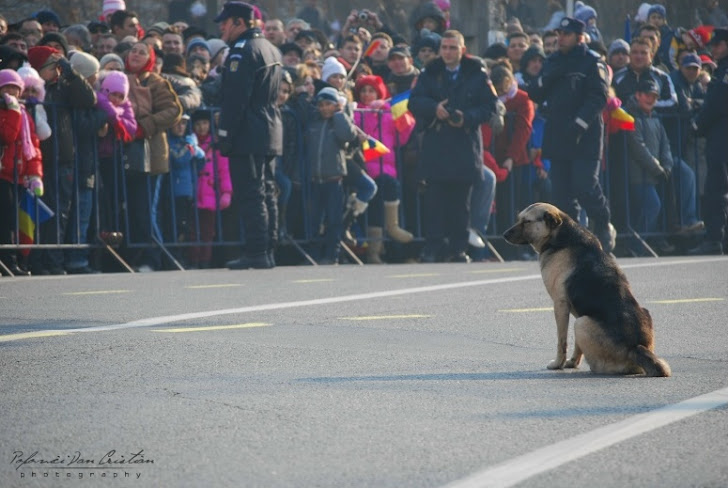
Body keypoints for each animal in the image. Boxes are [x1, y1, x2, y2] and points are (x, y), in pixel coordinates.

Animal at [504, 202, 668, 378]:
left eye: (526, 221)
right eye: (519, 218)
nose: (504, 235)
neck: (560, 237)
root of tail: (636, 347)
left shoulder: (560, 304)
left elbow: (561, 341)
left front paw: (558, 364)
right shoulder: (575, 311)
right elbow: (577, 346)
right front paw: (572, 362)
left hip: (581, 323)